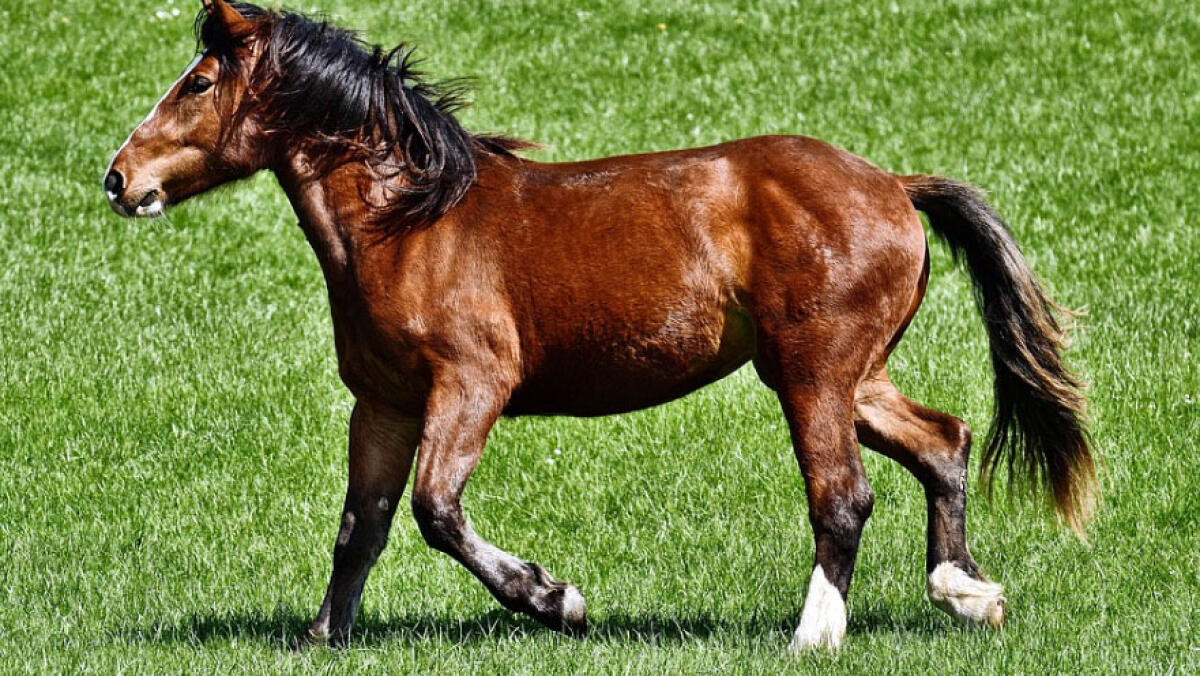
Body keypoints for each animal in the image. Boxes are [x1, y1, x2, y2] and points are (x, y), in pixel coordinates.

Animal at [104, 0, 1096, 652]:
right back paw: (967, 593)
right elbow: (364, 526)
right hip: (850, 375)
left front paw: (557, 599)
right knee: (944, 442)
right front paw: (323, 636)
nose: (119, 178)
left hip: (813, 372)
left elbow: (435, 511)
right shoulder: (382, 405)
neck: (410, 224)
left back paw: (814, 637)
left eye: (197, 82)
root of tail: (894, 184)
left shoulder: (471, 387)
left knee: (844, 496)